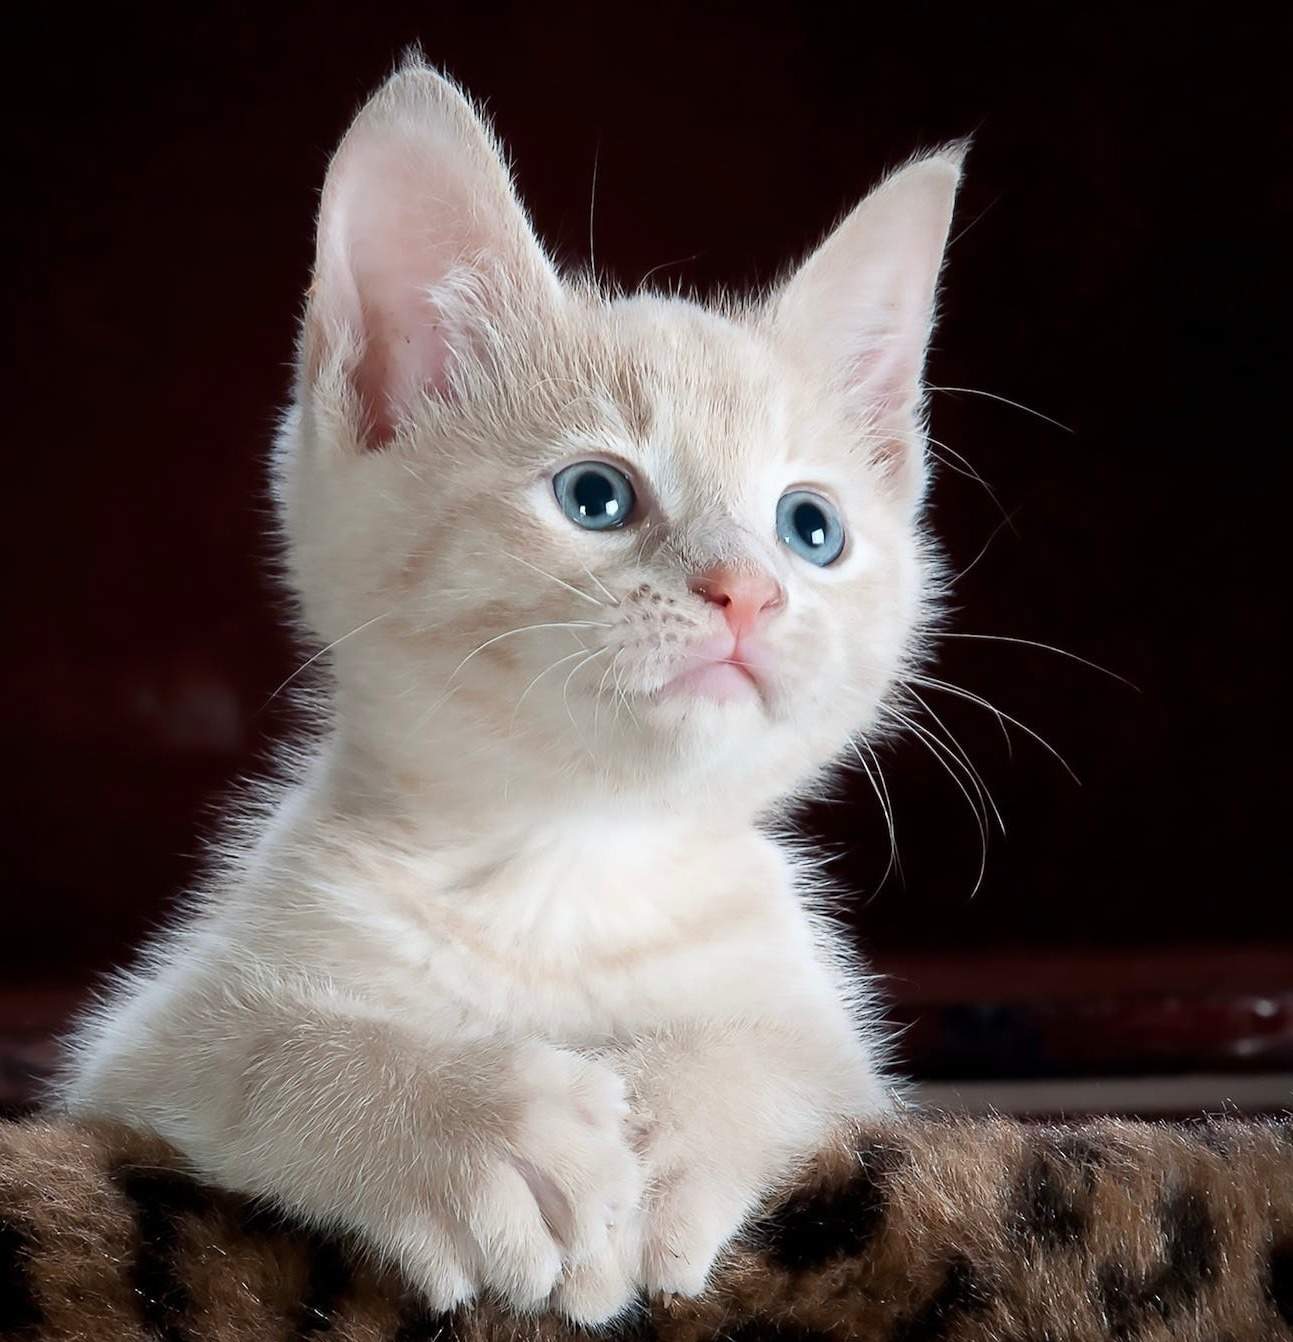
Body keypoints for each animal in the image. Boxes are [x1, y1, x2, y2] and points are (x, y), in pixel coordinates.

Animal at [58, 58, 961, 1324]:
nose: (748, 592)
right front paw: (463, 1126)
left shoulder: (844, 1062)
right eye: (596, 497)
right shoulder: (133, 1057)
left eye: (810, 527)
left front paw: (675, 1123)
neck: (568, 863)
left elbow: (780, 1055)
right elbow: (260, 1050)